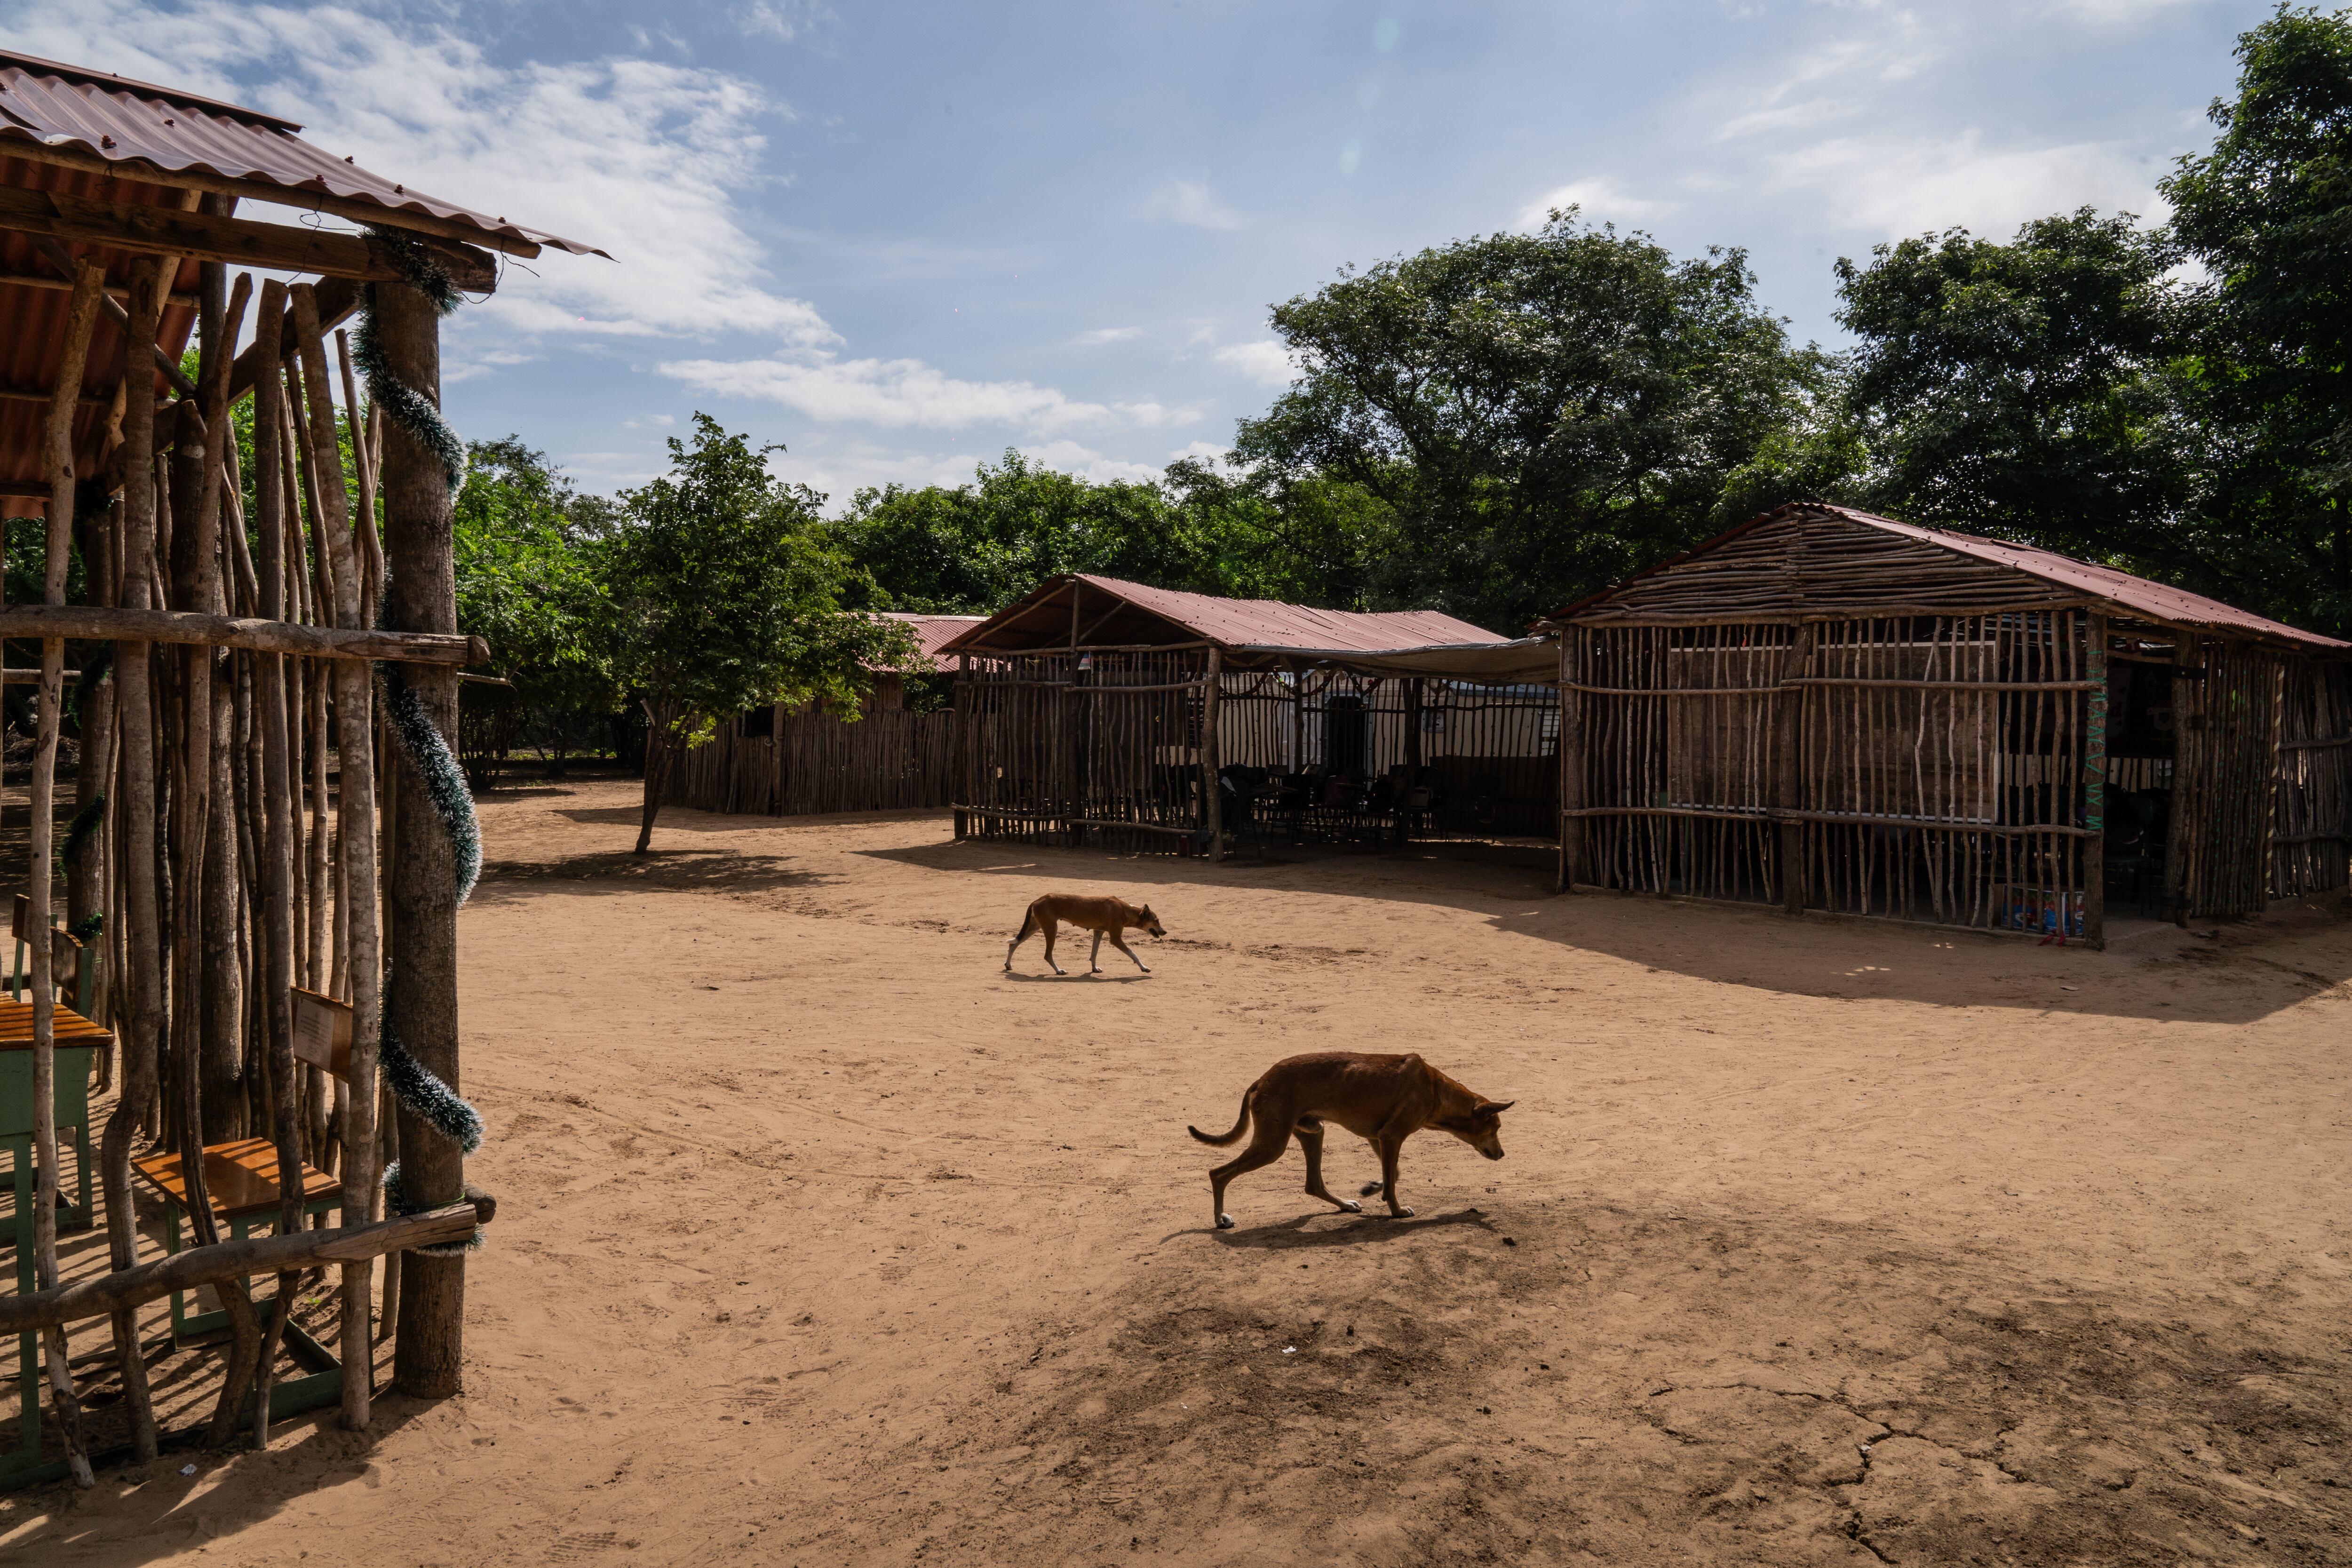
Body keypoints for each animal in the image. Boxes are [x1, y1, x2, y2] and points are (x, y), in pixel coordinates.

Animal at [1002, 888, 1167, 973]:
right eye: (1157, 920)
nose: (1165, 932)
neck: (1125, 910)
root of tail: (1037, 900)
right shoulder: (1116, 939)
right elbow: (1134, 954)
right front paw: (1144, 968)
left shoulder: (1098, 933)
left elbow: (1094, 954)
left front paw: (1094, 968)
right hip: (1051, 929)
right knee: (1047, 955)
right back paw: (1059, 970)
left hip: (1034, 928)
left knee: (1013, 944)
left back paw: (1008, 965)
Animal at [1185, 1053, 1515, 1222]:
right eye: (1497, 1128)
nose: (1502, 1155)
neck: (1435, 1089)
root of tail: (1260, 1080)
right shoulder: (1392, 1136)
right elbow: (1394, 1182)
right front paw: (1396, 1211)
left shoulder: (1379, 1137)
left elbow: (1393, 1174)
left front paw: (1374, 1188)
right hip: (1272, 1145)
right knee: (1218, 1173)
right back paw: (1220, 1218)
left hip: (1313, 1132)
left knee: (1313, 1184)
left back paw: (1345, 1205)